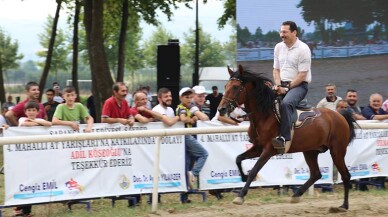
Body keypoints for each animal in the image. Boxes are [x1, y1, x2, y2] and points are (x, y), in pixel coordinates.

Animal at [217, 65, 356, 209]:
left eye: (235, 87)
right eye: (226, 86)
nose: (221, 109)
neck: (265, 115)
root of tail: (339, 116)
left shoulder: (268, 150)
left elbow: (254, 170)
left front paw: (240, 195)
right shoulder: (258, 147)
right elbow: (238, 158)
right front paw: (243, 177)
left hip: (337, 151)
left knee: (346, 175)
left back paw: (344, 205)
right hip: (310, 151)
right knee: (316, 174)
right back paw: (296, 195)